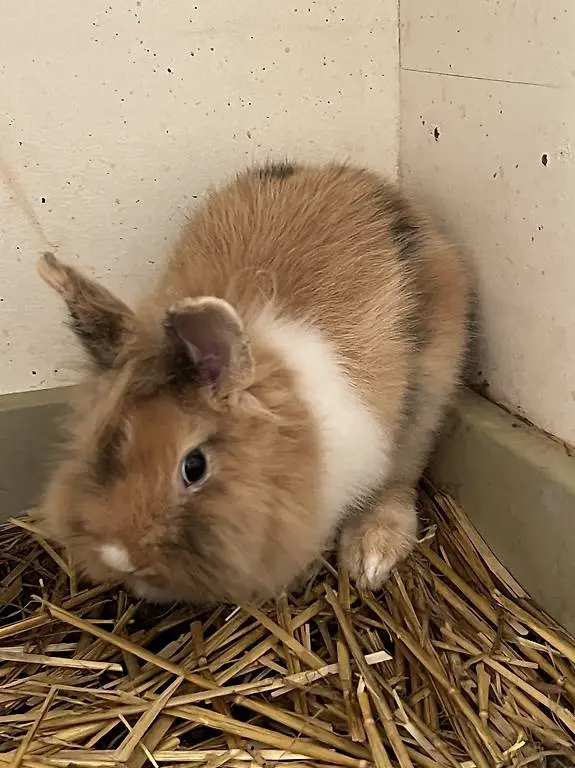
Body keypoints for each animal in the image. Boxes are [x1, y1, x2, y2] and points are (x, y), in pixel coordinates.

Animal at [36, 161, 472, 605]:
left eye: (194, 466)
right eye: (94, 443)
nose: (120, 556)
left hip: (426, 399)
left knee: (401, 475)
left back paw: (370, 556)